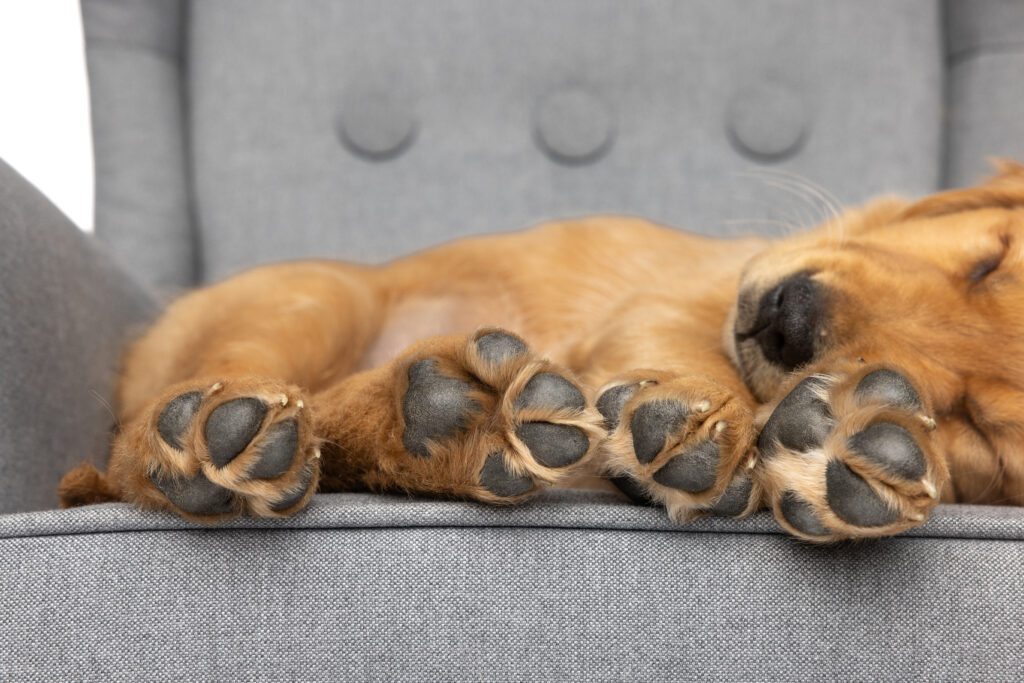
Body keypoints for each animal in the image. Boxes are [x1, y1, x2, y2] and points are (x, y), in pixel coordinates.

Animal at [59, 157, 1024, 540]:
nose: (790, 319)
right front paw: (699, 416)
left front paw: (846, 450)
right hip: (315, 298)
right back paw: (215, 430)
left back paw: (449, 419)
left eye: (981, 423)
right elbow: (697, 359)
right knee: (151, 440)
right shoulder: (667, 303)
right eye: (988, 258)